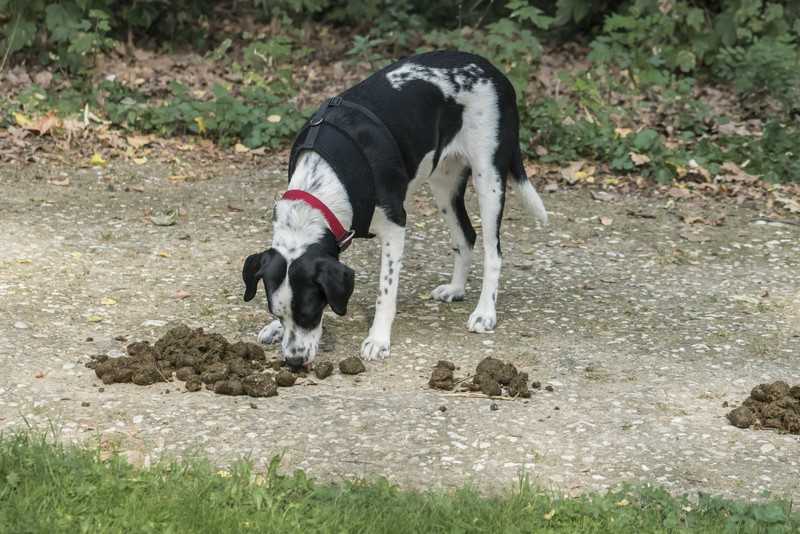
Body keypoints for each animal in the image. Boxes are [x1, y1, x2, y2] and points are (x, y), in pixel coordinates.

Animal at [241, 50, 548, 368]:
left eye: (310, 312)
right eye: (277, 312)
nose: (293, 361)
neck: (324, 180)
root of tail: (493, 70)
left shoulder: (395, 226)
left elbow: (385, 292)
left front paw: (378, 339)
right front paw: (275, 329)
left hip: (489, 178)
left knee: (493, 251)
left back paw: (485, 311)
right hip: (444, 183)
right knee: (466, 236)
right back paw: (456, 289)